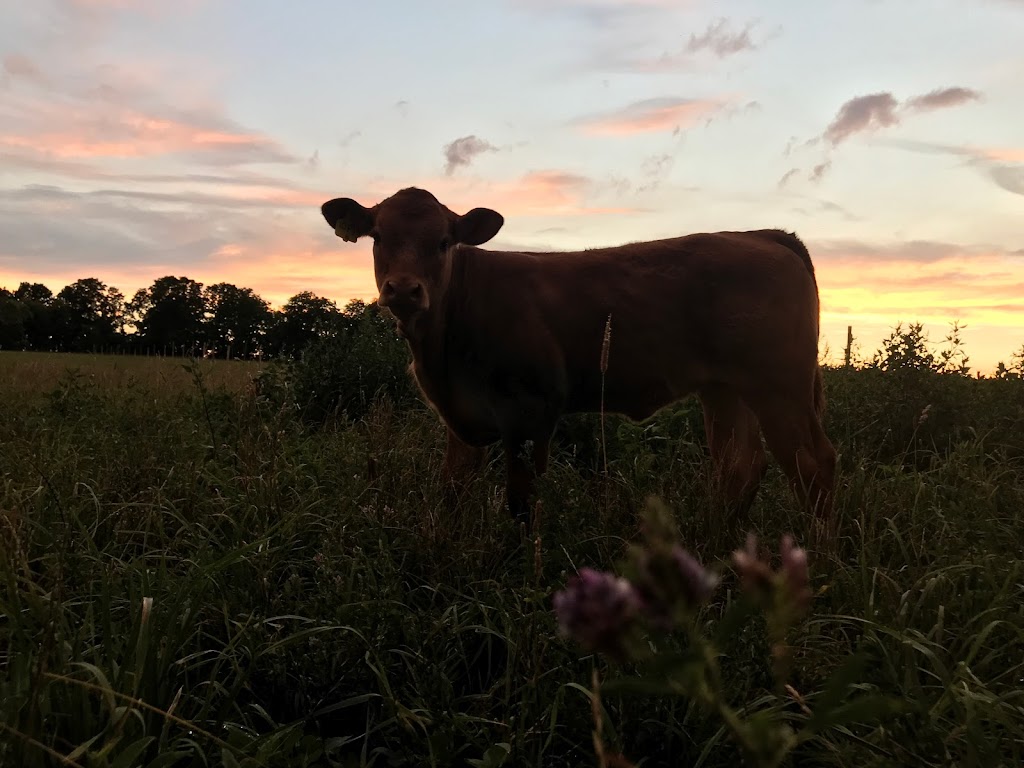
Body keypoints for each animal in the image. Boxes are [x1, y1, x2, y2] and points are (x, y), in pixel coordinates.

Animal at [321, 188, 839, 528]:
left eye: (444, 241)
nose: (403, 290)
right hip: (726, 389)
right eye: (378, 236)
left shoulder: (532, 411)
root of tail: (763, 235)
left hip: (779, 385)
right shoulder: (461, 419)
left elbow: (520, 502)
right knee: (739, 466)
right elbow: (451, 491)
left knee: (812, 464)